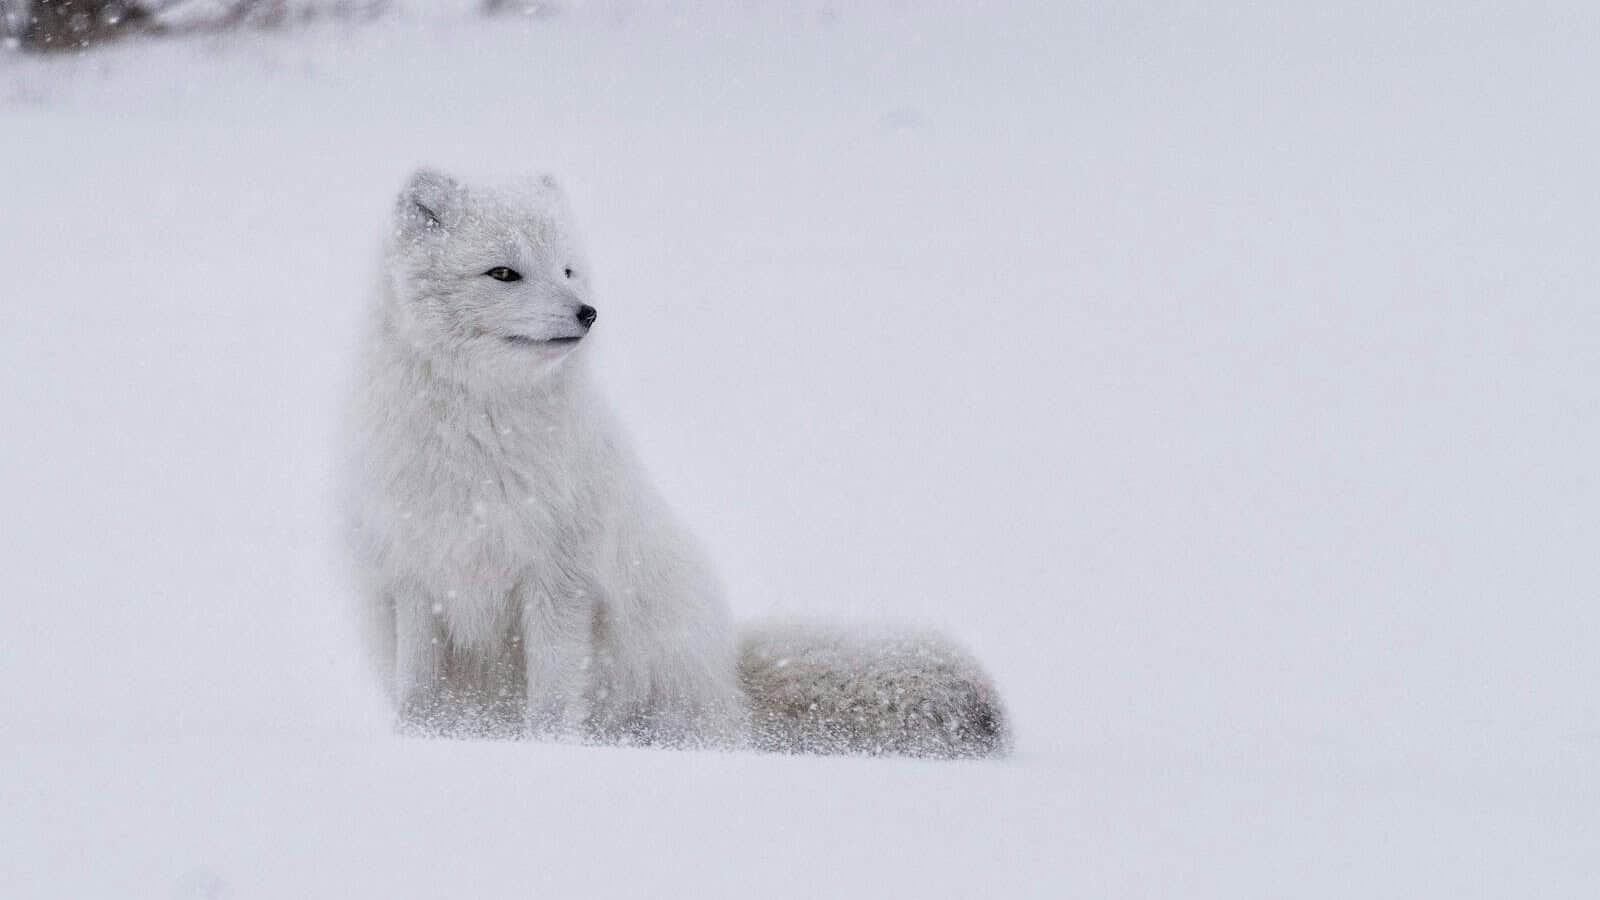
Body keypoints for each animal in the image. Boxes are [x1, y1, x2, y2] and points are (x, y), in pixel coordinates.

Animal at [346, 168, 1008, 758]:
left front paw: (548, 754)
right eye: (503, 272)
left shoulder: (560, 580)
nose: (588, 312)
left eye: (567, 269)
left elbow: (554, 698)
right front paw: (422, 744)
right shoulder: (418, 574)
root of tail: (731, 679)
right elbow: (419, 689)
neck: (479, 441)